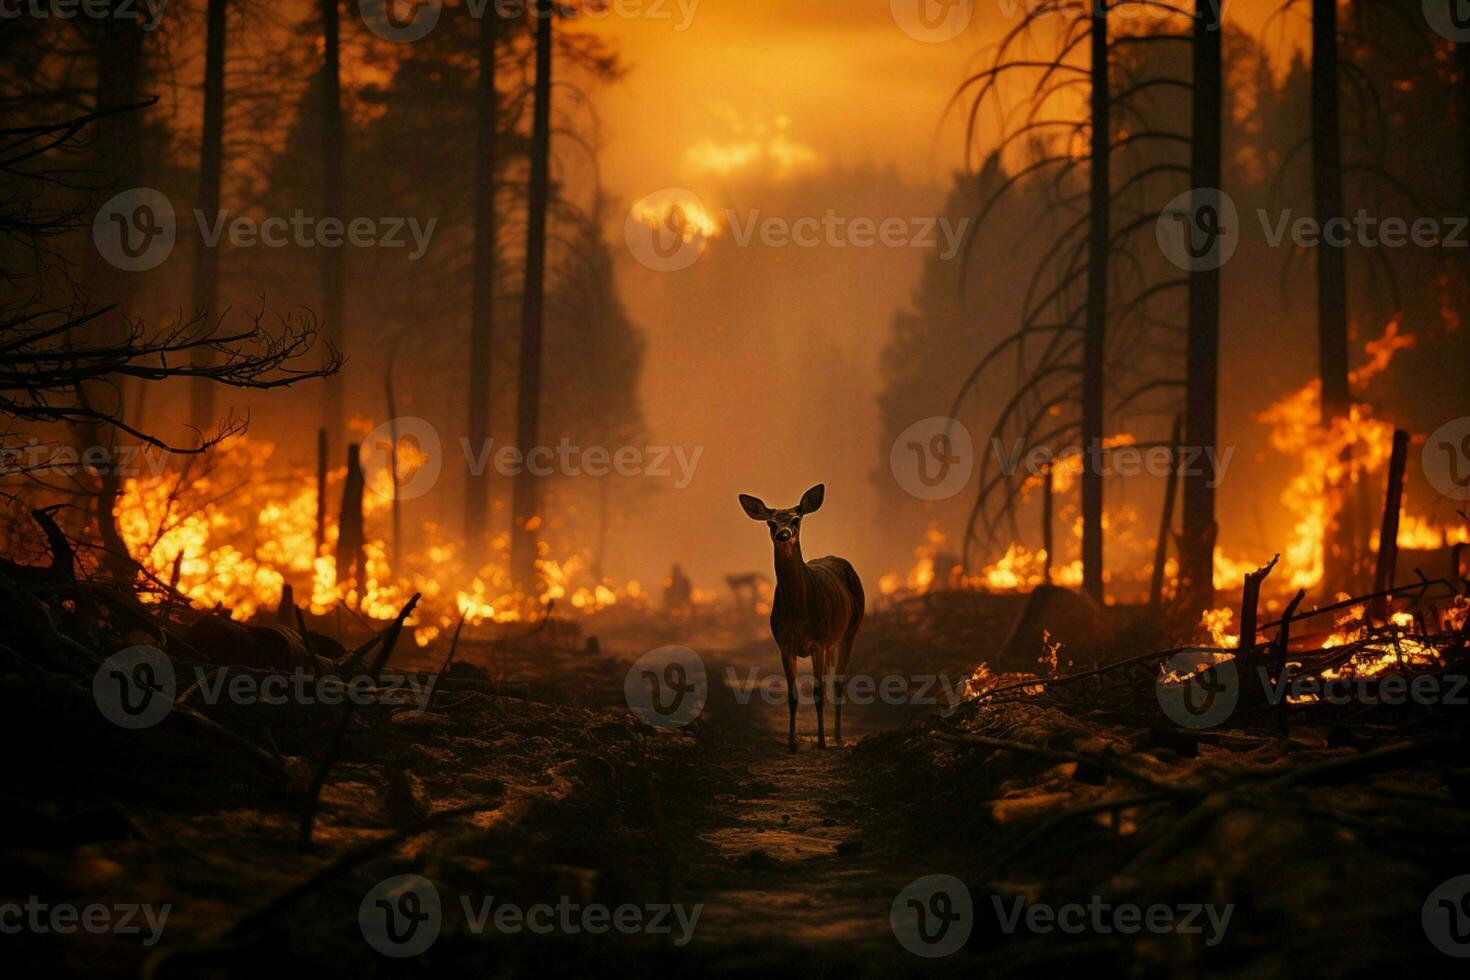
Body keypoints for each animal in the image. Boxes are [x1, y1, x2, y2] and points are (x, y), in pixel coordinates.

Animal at [735, 487, 858, 758]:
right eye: (770, 522)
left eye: (796, 519)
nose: (783, 534)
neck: (800, 612)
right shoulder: (785, 645)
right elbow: (792, 696)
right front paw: (792, 744)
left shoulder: (818, 641)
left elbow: (818, 691)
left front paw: (821, 742)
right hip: (831, 642)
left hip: (850, 629)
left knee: (838, 682)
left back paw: (837, 737)